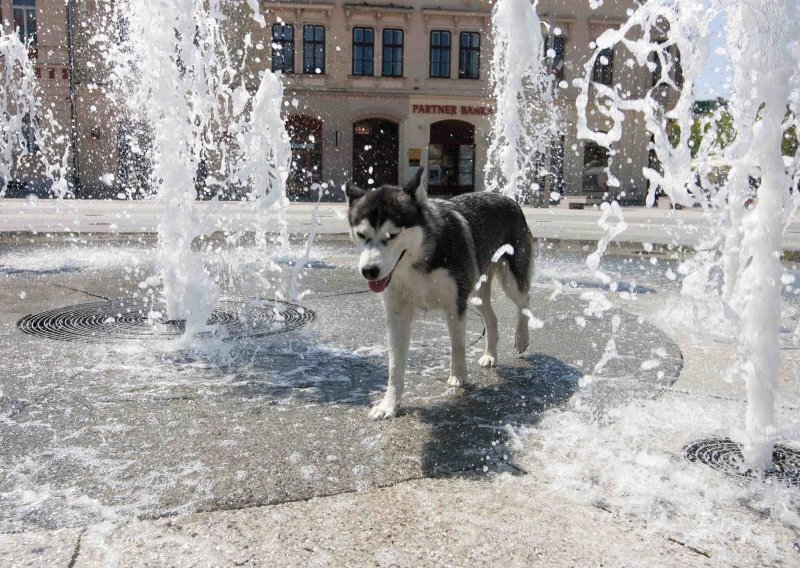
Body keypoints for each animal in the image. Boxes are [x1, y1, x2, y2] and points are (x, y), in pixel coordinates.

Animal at [346, 166, 536, 420]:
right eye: (361, 235)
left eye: (392, 235)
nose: (369, 271)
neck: (418, 259)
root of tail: (507, 198)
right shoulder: (397, 315)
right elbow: (395, 365)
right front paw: (389, 404)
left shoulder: (456, 305)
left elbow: (457, 345)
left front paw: (459, 377)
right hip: (475, 292)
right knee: (492, 318)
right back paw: (490, 355)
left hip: (510, 279)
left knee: (524, 300)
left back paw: (521, 337)